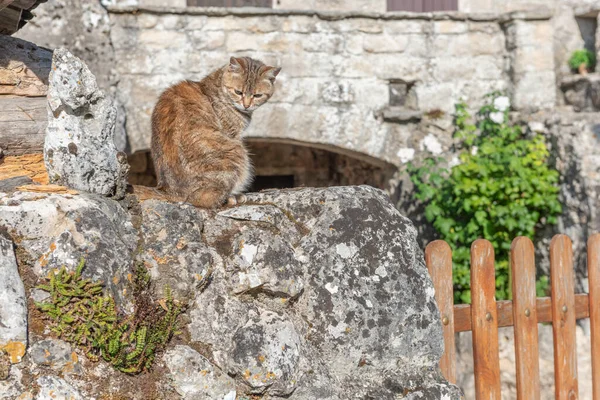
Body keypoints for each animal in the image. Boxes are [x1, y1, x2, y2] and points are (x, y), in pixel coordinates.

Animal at [150, 57, 282, 208]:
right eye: (238, 92)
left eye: (257, 95)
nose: (246, 105)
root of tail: (173, 194)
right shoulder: (232, 134)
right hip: (237, 152)